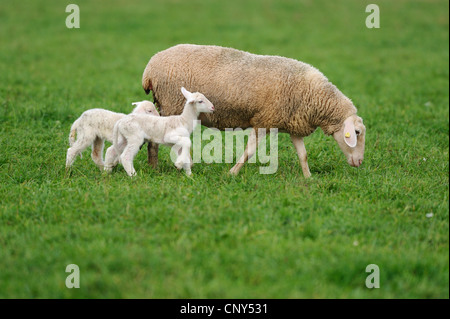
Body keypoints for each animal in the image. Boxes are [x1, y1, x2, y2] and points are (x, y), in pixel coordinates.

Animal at [142, 44, 368, 178]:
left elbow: (303, 154)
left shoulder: (292, 123)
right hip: (171, 104)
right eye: (356, 133)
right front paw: (232, 173)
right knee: (155, 141)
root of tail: (149, 68)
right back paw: (160, 168)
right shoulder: (263, 121)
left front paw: (308, 178)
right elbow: (249, 151)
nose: (360, 162)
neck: (313, 97)